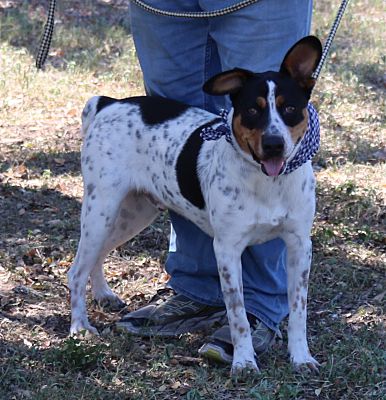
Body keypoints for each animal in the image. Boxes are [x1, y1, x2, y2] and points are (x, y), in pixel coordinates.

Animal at [68, 35, 322, 376]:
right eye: (252, 111)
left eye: (290, 108)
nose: (273, 144)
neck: (268, 183)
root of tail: (109, 102)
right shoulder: (227, 249)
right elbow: (238, 315)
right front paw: (243, 361)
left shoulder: (298, 246)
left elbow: (297, 311)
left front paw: (301, 357)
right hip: (101, 211)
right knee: (76, 270)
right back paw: (79, 326)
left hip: (131, 215)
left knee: (95, 256)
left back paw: (103, 294)